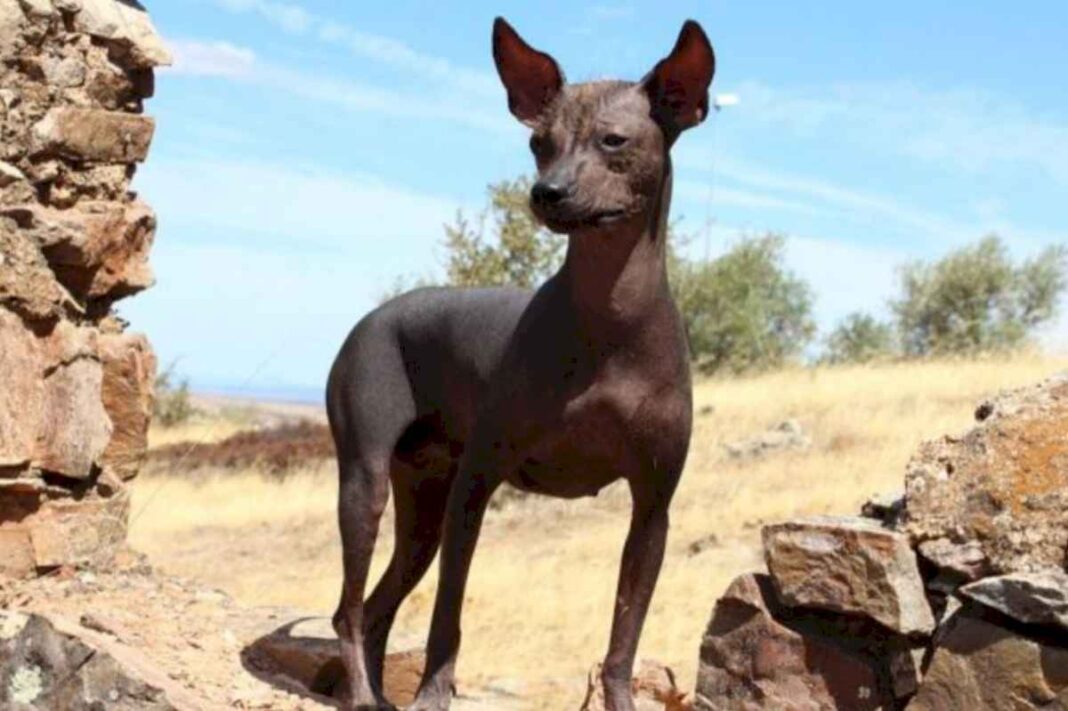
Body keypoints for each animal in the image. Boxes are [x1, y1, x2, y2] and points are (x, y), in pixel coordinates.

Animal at [324, 18, 717, 708]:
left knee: (373, 609)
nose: (547, 192)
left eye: (614, 140)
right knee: (348, 611)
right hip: (366, 484)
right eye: (539, 142)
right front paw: (434, 694)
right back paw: (366, 697)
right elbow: (446, 619)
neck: (610, 320)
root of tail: (374, 317)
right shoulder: (475, 486)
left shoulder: (652, 510)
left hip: (422, 510)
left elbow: (624, 640)